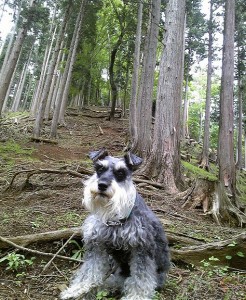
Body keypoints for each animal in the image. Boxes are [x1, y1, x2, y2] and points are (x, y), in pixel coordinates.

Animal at [60, 148, 170, 300]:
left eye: (121, 172)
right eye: (99, 168)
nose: (102, 185)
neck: (115, 218)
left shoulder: (142, 249)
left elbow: (141, 277)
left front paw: (136, 296)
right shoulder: (96, 244)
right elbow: (90, 270)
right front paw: (77, 288)